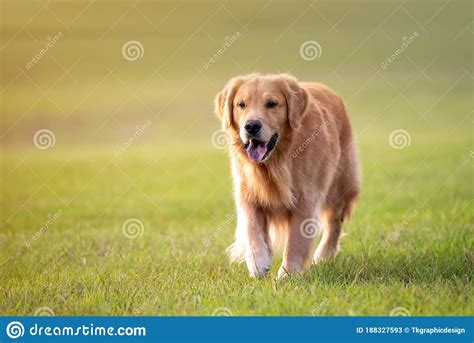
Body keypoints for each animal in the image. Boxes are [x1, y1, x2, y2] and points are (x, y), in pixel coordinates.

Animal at [214, 74, 360, 278]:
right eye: (241, 104)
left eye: (272, 103)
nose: (251, 126)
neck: (277, 162)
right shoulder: (247, 193)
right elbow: (252, 229)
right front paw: (259, 263)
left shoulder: (306, 199)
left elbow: (295, 242)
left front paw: (287, 274)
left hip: (340, 185)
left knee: (334, 222)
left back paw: (324, 255)